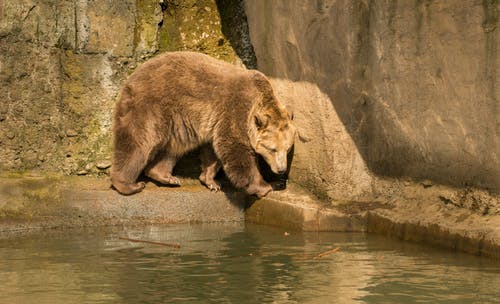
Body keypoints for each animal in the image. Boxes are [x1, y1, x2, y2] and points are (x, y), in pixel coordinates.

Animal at [111, 51, 294, 198]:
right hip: (152, 105)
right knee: (139, 142)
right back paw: (129, 184)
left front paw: (211, 180)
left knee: (172, 149)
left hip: (176, 123)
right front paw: (266, 186)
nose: (281, 170)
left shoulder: (216, 122)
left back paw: (165, 176)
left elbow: (213, 151)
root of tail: (133, 76)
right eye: (272, 149)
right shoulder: (236, 111)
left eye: (287, 149)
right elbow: (236, 150)